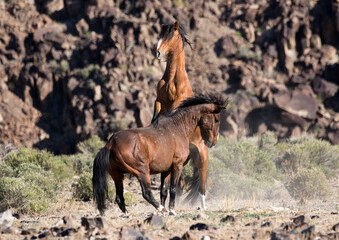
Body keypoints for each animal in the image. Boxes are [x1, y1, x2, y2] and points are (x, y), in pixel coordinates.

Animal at [92, 93, 228, 214]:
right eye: (217, 119)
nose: (213, 142)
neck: (178, 128)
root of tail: (110, 144)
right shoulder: (177, 165)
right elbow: (173, 189)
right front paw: (171, 210)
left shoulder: (166, 170)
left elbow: (163, 190)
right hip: (142, 172)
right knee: (146, 192)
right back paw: (162, 209)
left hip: (117, 175)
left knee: (119, 198)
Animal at [154, 22, 212, 210]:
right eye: (160, 34)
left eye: (170, 36)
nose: (158, 52)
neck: (173, 78)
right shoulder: (159, 100)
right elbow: (157, 113)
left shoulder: (178, 102)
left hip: (202, 158)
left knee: (202, 180)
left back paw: (203, 206)